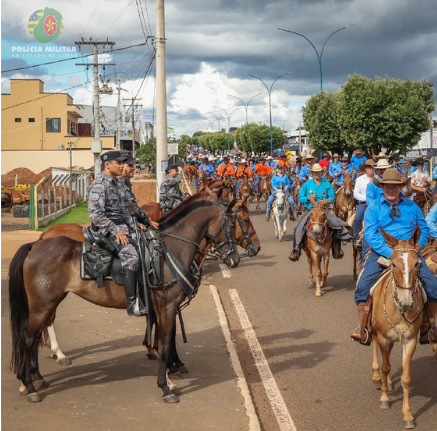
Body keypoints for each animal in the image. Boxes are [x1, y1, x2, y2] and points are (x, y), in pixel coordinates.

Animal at [7, 192, 238, 404]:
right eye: (233, 223)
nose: (234, 258)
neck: (169, 250)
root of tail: (34, 245)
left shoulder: (162, 307)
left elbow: (166, 339)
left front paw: (170, 375)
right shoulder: (168, 305)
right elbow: (164, 345)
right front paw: (166, 386)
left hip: (48, 303)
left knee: (36, 335)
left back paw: (35, 377)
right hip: (42, 305)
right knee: (28, 337)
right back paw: (28, 384)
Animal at [370, 228, 424, 430]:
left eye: (417, 264)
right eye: (393, 264)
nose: (407, 301)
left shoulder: (410, 340)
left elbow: (406, 378)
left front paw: (407, 414)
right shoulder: (383, 337)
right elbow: (386, 367)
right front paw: (385, 398)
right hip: (374, 330)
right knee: (375, 346)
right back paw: (377, 378)